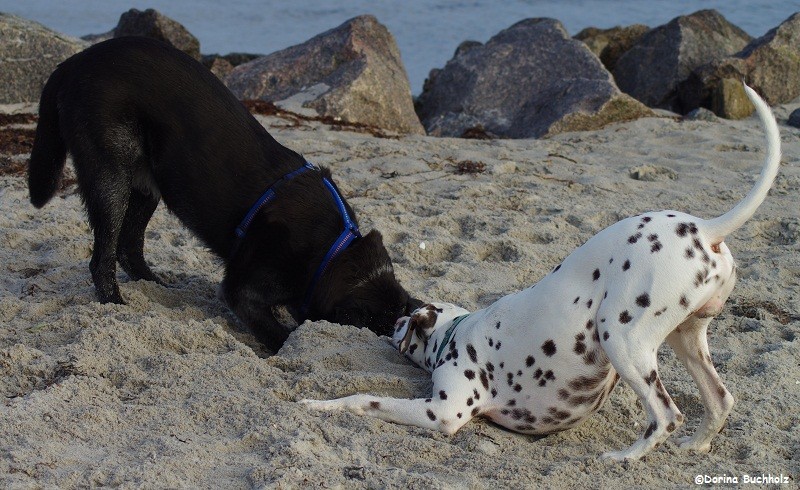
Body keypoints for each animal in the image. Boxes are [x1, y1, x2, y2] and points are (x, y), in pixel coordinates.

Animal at [28, 36, 418, 348]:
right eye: (375, 328)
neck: (332, 251)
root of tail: (73, 61)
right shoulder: (243, 290)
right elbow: (283, 335)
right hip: (111, 176)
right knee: (102, 258)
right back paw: (115, 305)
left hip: (146, 185)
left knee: (128, 247)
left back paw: (158, 288)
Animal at [296, 82, 780, 462]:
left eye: (407, 322)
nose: (396, 319)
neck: (456, 333)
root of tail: (704, 228)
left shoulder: (441, 413)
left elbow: (363, 398)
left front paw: (319, 404)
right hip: (687, 340)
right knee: (720, 401)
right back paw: (693, 447)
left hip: (622, 338)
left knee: (666, 416)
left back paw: (623, 458)